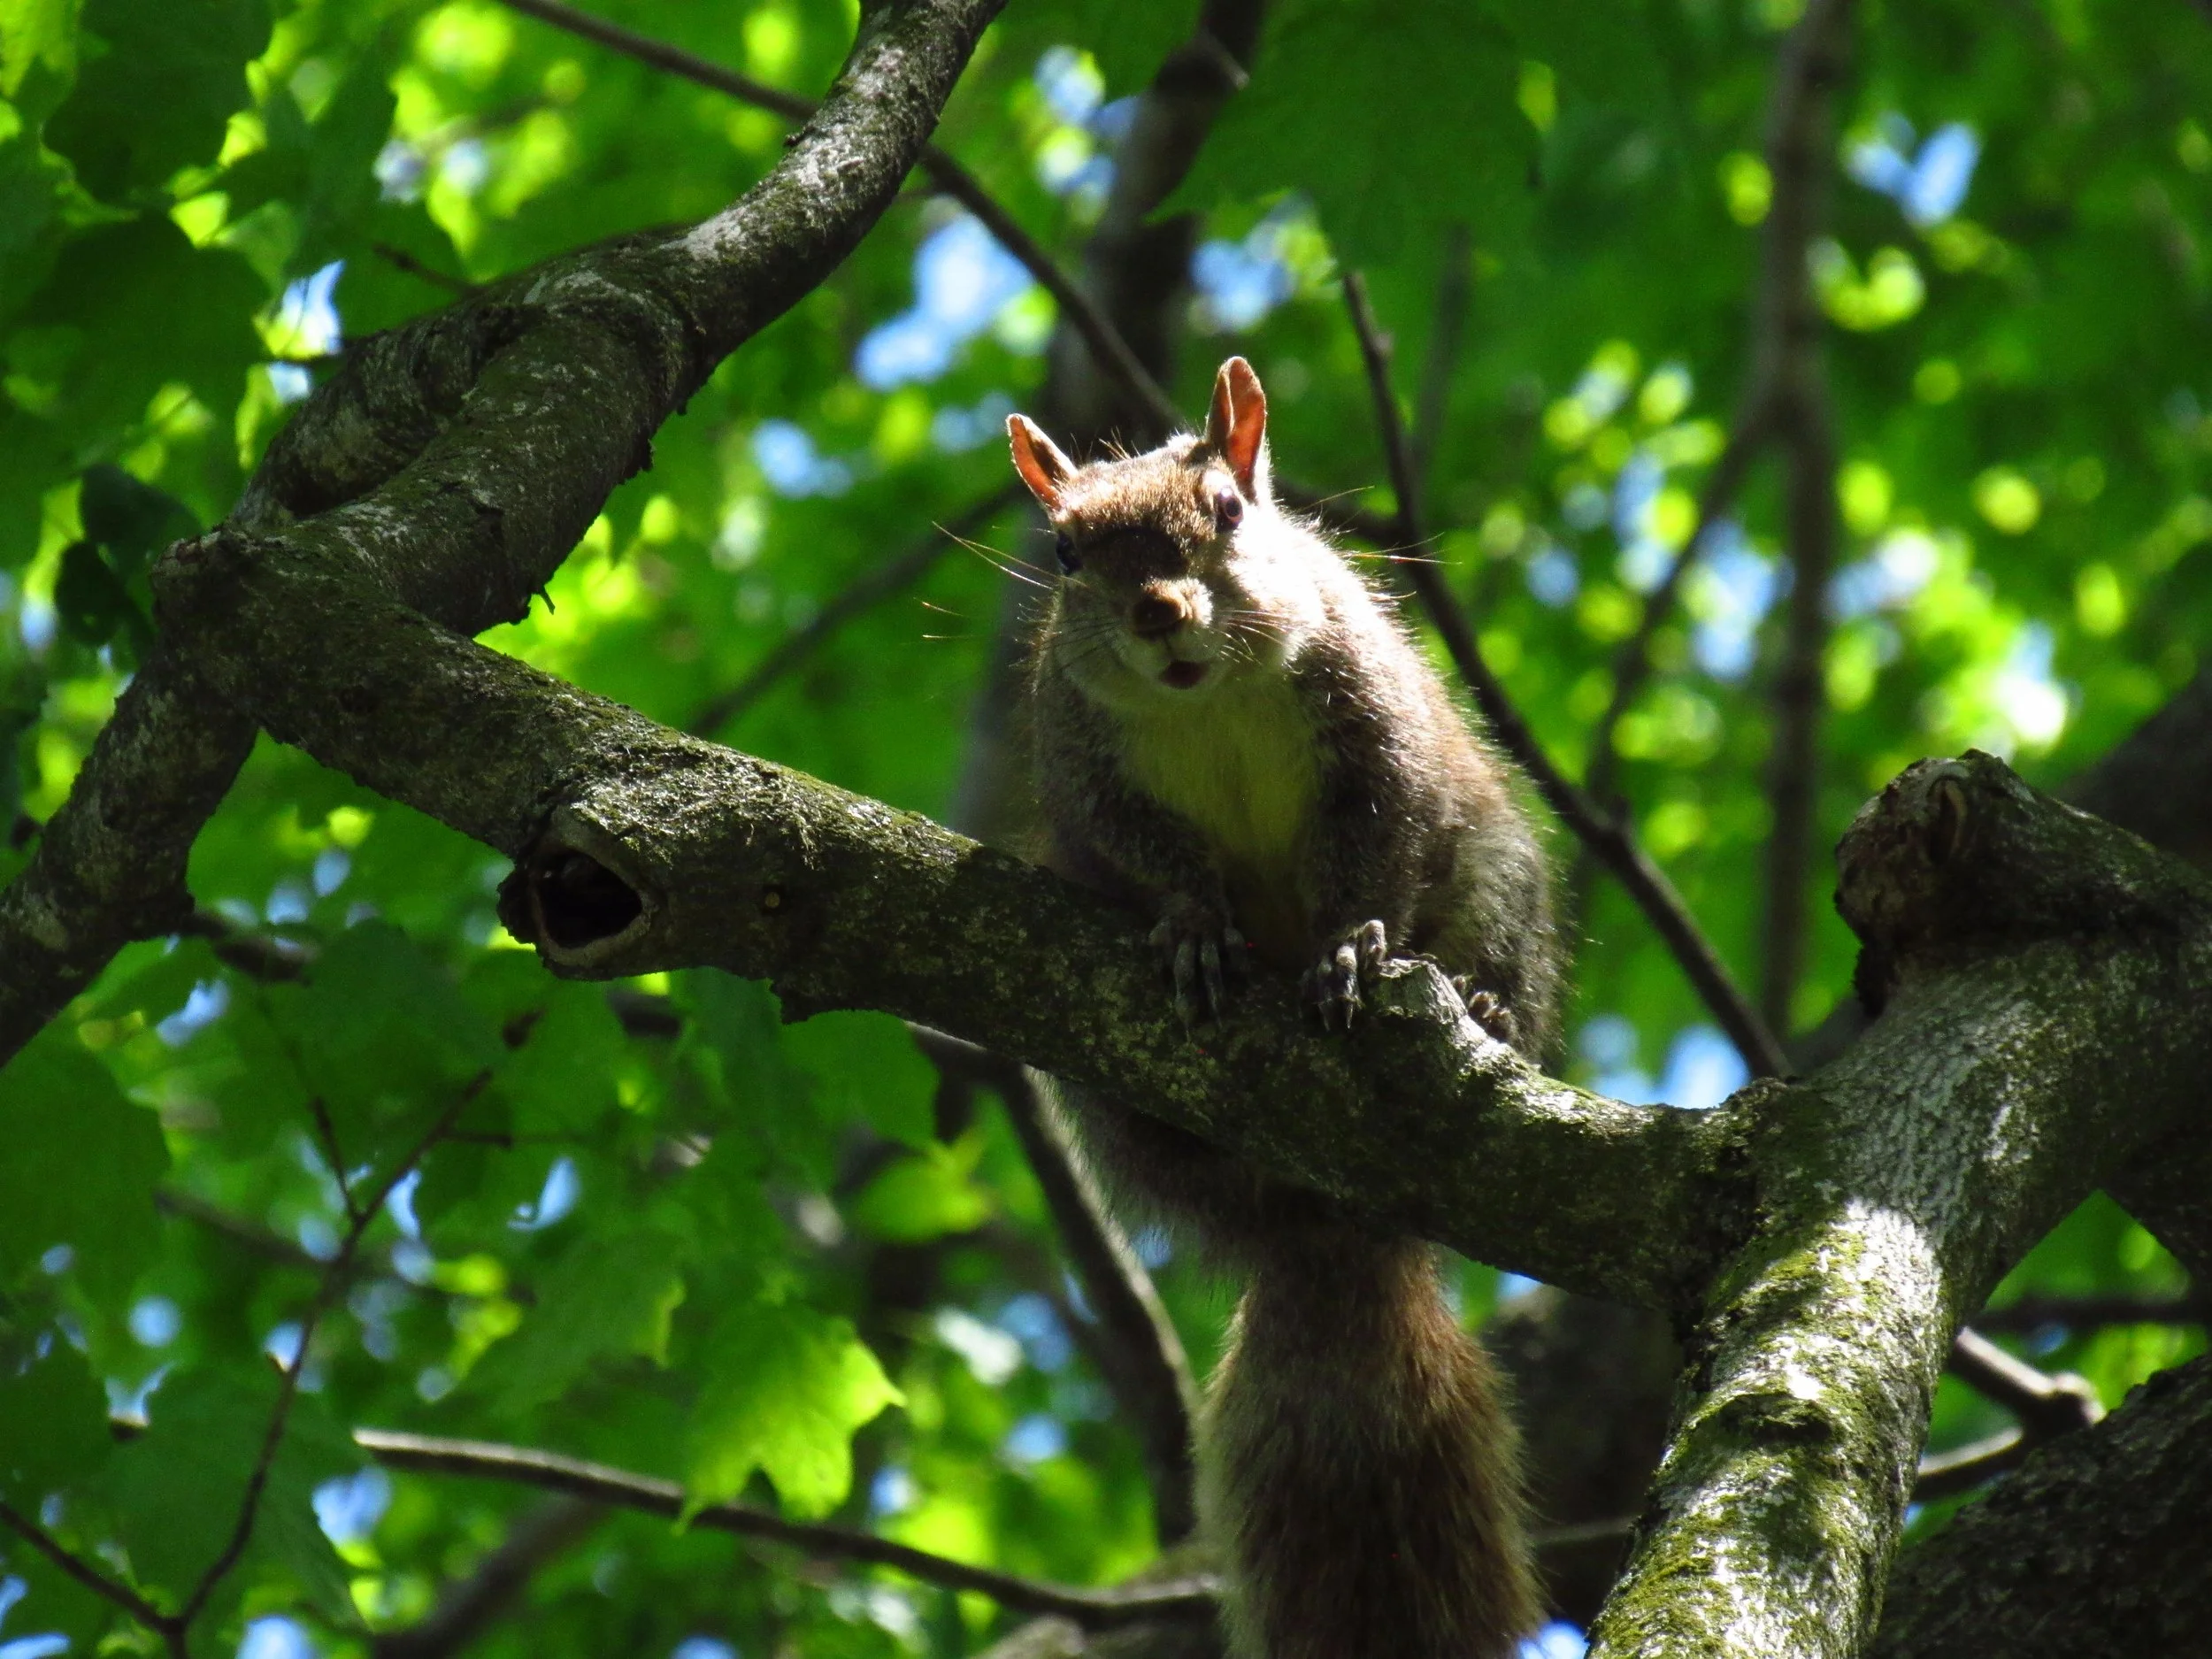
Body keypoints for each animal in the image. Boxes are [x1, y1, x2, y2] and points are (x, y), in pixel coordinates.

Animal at [1006, 356, 1562, 1659]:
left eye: (1227, 510)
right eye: (1063, 551)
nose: (1158, 611)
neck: (1205, 700)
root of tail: (1323, 1215)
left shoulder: (1371, 723)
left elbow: (1376, 839)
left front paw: (1349, 948)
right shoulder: (1084, 769)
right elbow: (1145, 852)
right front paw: (1192, 928)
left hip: (1500, 877)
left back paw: (1478, 1005)